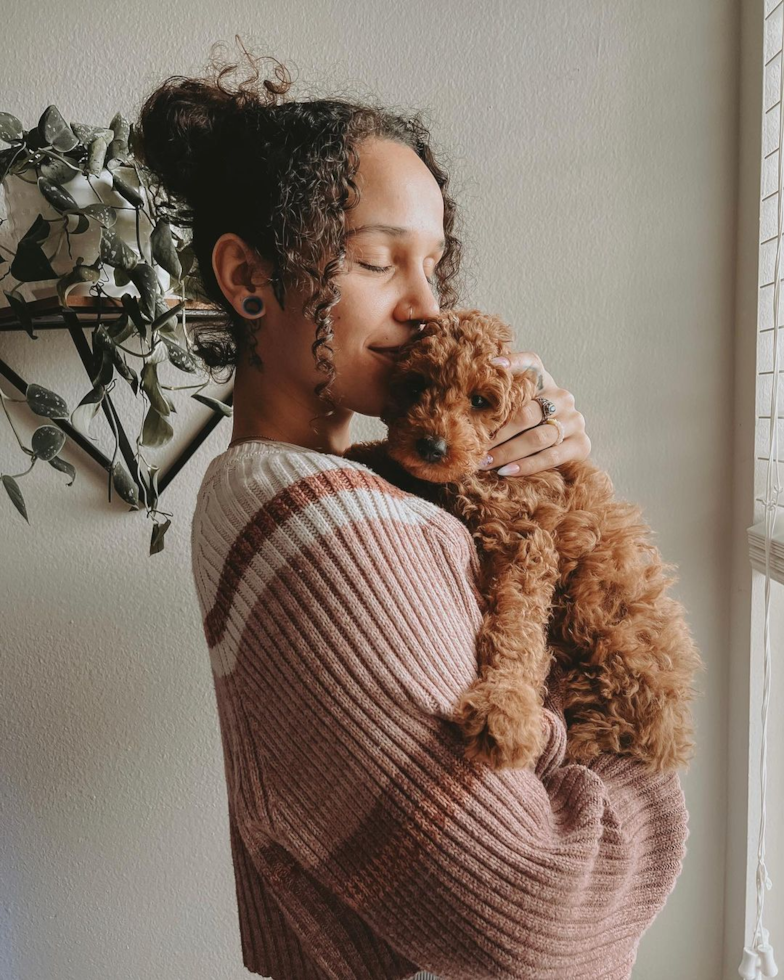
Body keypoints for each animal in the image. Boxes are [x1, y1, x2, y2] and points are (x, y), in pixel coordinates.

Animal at [346, 306, 708, 772]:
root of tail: (670, 736)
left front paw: (505, 710)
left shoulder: (528, 541)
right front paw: (360, 451)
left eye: (480, 401)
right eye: (415, 385)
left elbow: (517, 629)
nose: (432, 446)